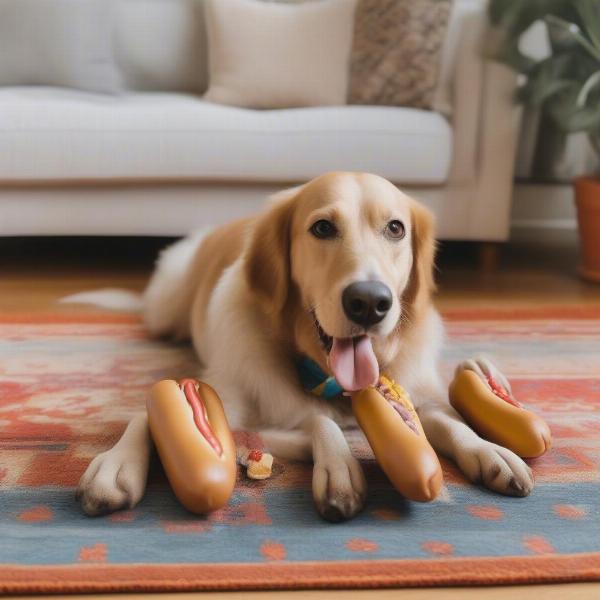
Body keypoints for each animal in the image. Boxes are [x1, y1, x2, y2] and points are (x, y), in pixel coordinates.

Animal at [76, 172, 536, 520]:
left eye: (395, 228)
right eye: (322, 228)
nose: (369, 302)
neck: (331, 380)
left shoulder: (413, 393)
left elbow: (449, 422)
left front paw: (490, 451)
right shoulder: (235, 408)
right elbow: (146, 414)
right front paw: (116, 465)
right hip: (166, 308)